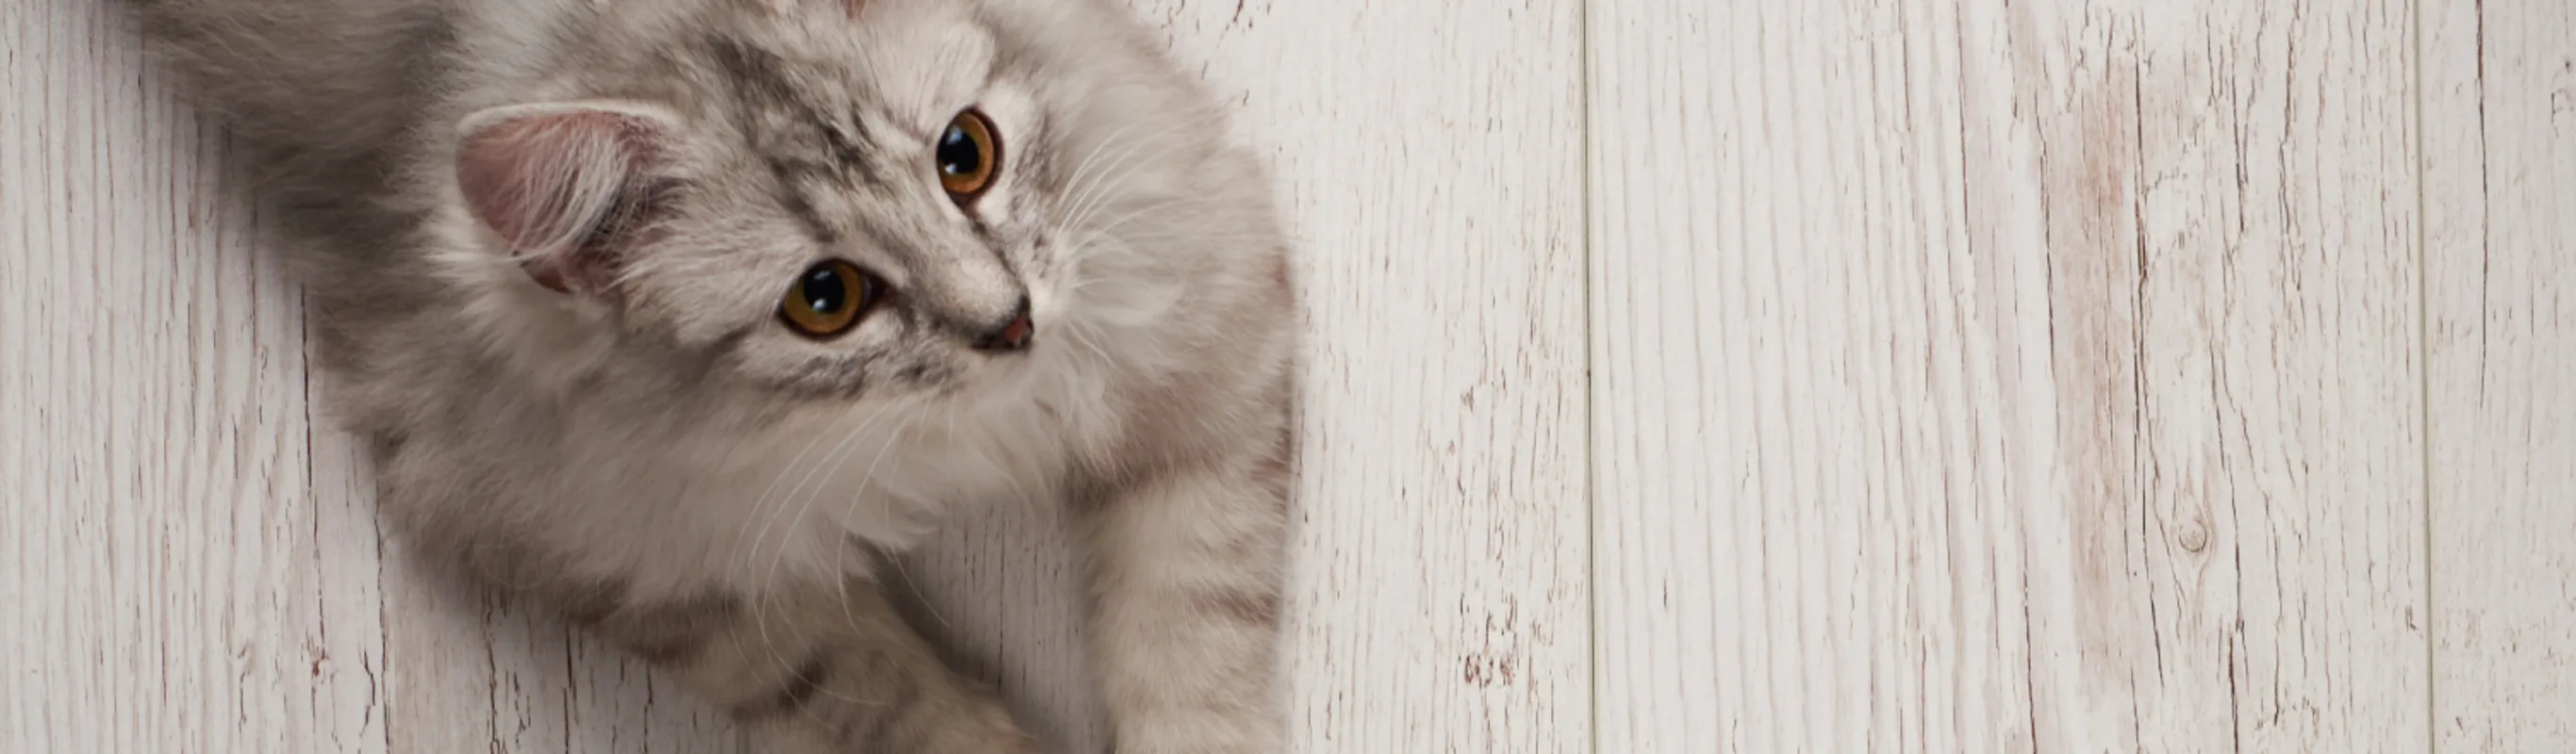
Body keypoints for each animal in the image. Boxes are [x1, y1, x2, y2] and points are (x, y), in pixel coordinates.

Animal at [123, 0, 1297, 746]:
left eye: (965, 155)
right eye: (824, 299)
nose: (1008, 324)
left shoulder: (1210, 336)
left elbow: (1187, 632)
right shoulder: (620, 546)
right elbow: (871, 692)